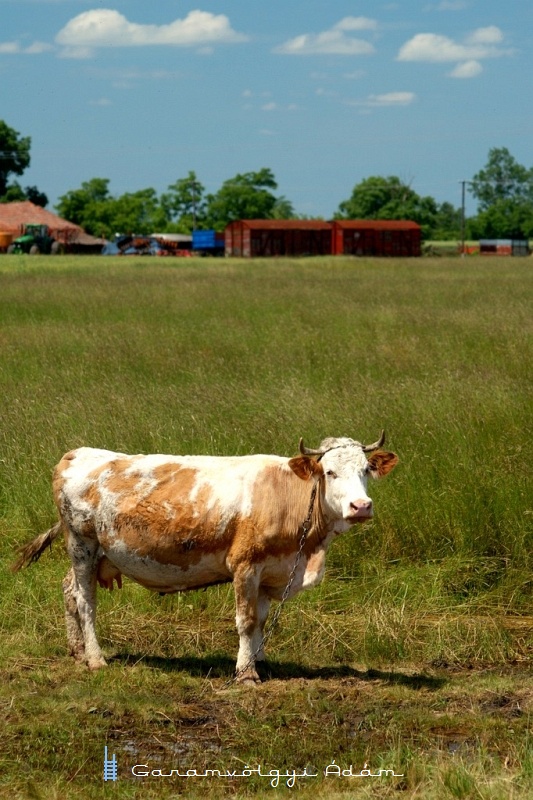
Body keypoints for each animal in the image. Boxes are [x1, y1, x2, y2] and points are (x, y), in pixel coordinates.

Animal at [12, 434, 396, 684]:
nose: (361, 506)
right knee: (84, 600)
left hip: (92, 555)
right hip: (83, 544)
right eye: (330, 472)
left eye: (365, 470)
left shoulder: (271, 571)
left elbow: (261, 620)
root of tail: (77, 453)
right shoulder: (245, 565)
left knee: (68, 590)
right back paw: (94, 658)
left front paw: (259, 661)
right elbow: (246, 620)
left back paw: (76, 651)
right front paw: (245, 672)